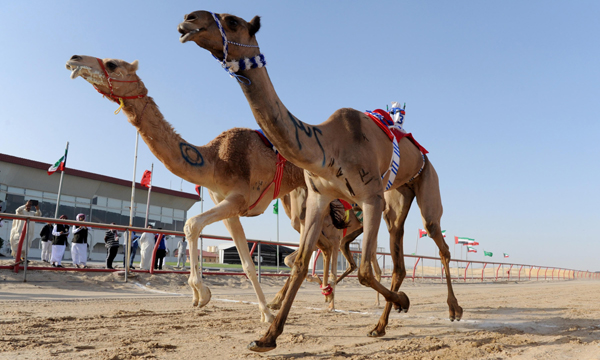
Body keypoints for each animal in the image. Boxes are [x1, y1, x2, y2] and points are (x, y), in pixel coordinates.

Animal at [64, 54, 352, 324]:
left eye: (112, 64)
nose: (74, 59)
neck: (214, 160)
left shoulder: (237, 199)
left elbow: (191, 224)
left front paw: (202, 293)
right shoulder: (229, 208)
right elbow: (245, 262)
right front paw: (262, 313)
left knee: (330, 241)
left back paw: (329, 296)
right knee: (323, 244)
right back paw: (321, 296)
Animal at [178, 9, 464, 350]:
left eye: (232, 21)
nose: (188, 19)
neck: (326, 145)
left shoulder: (370, 197)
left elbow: (364, 271)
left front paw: (405, 301)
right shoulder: (319, 197)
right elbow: (301, 263)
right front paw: (267, 336)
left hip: (425, 182)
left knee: (438, 239)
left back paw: (453, 308)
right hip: (397, 197)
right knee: (398, 260)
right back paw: (379, 326)